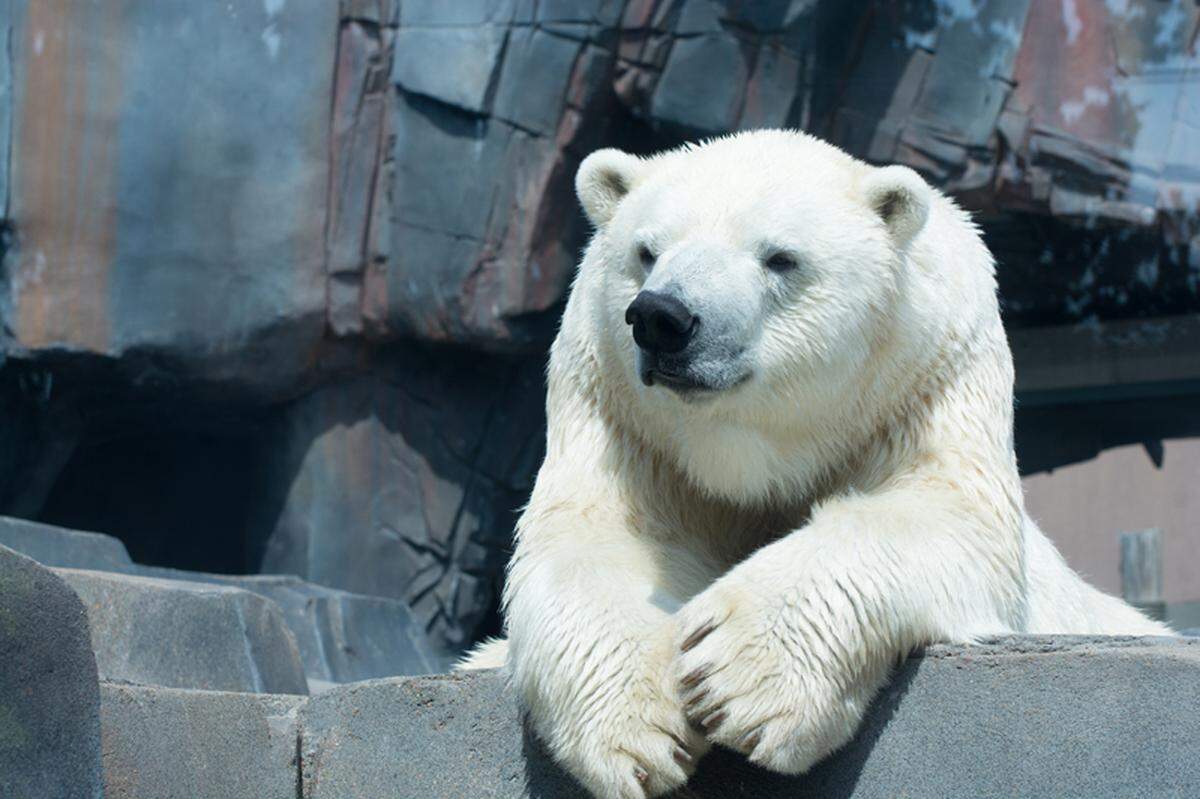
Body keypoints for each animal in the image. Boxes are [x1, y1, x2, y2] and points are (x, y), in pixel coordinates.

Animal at [462, 130, 1171, 798]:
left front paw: (734, 676)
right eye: (646, 252)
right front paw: (642, 728)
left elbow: (944, 516)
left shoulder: (927, 380)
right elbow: (594, 541)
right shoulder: (625, 423)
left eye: (780, 257)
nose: (663, 316)